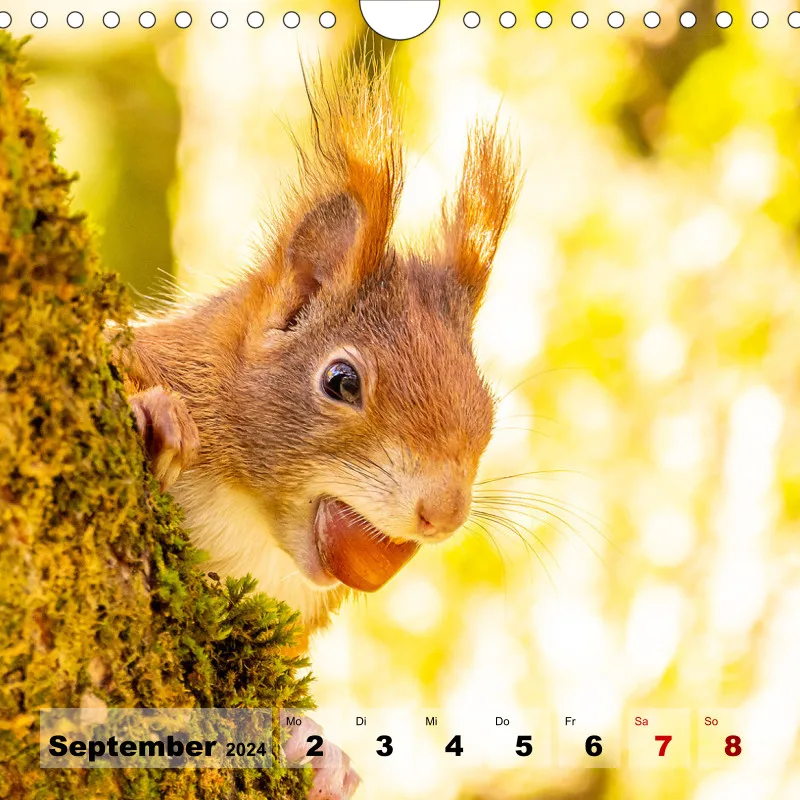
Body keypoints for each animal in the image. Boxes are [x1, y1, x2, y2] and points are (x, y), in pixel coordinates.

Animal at [113, 57, 520, 799]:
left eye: (488, 411)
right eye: (341, 381)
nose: (443, 514)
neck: (252, 523)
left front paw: (324, 755)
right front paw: (160, 415)